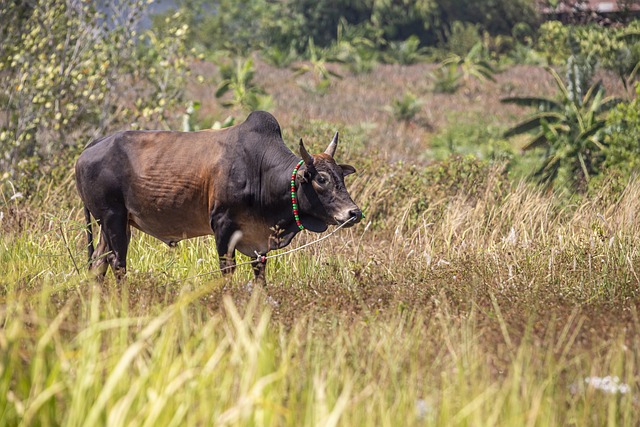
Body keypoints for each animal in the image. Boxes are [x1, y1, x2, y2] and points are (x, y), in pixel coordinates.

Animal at [75, 112, 362, 282]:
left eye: (341, 176)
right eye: (321, 179)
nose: (354, 213)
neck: (260, 170)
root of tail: (88, 149)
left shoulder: (259, 242)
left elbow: (259, 274)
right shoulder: (223, 226)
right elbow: (227, 270)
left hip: (114, 223)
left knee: (98, 264)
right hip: (112, 218)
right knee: (117, 262)